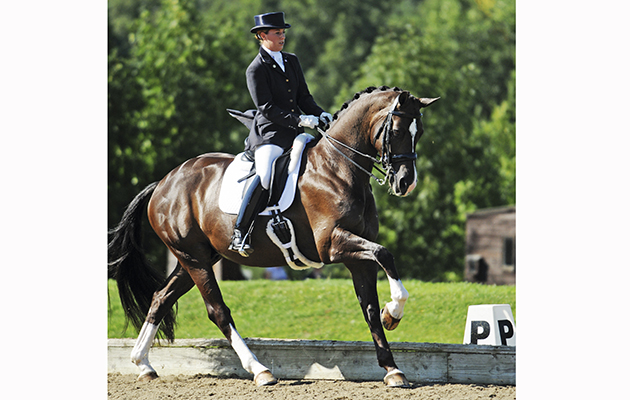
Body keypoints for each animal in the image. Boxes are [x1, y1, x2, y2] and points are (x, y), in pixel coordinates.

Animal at [108, 85, 442, 388]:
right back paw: (260, 370)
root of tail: (164, 182)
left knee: (161, 298)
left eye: (420, 132)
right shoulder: (333, 245)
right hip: (195, 259)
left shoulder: (357, 258)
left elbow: (370, 308)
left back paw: (143, 364)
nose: (406, 183)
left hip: (194, 258)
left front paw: (392, 366)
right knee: (218, 311)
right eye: (396, 131)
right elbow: (385, 253)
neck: (340, 169)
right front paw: (394, 313)